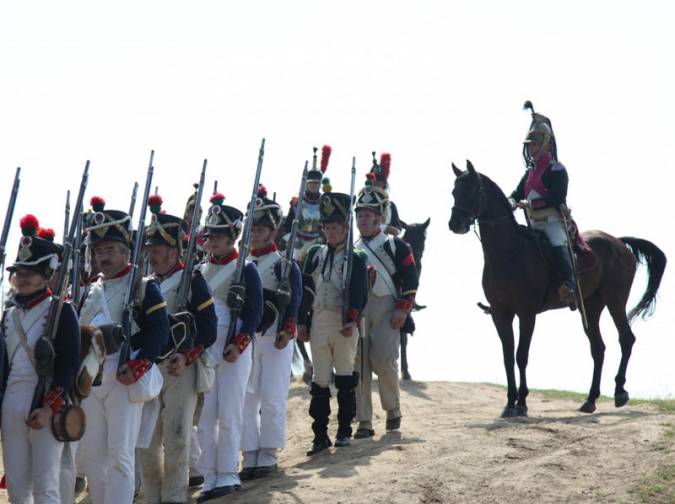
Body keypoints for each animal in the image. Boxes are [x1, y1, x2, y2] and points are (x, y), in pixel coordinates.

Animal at [448, 161, 664, 418]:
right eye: (454, 191)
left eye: (473, 190)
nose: (455, 224)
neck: (508, 254)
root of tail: (619, 242)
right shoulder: (500, 314)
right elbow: (508, 357)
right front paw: (509, 403)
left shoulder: (526, 314)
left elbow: (521, 356)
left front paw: (522, 402)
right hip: (591, 306)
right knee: (598, 348)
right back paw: (590, 400)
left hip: (615, 300)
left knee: (626, 339)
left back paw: (620, 391)